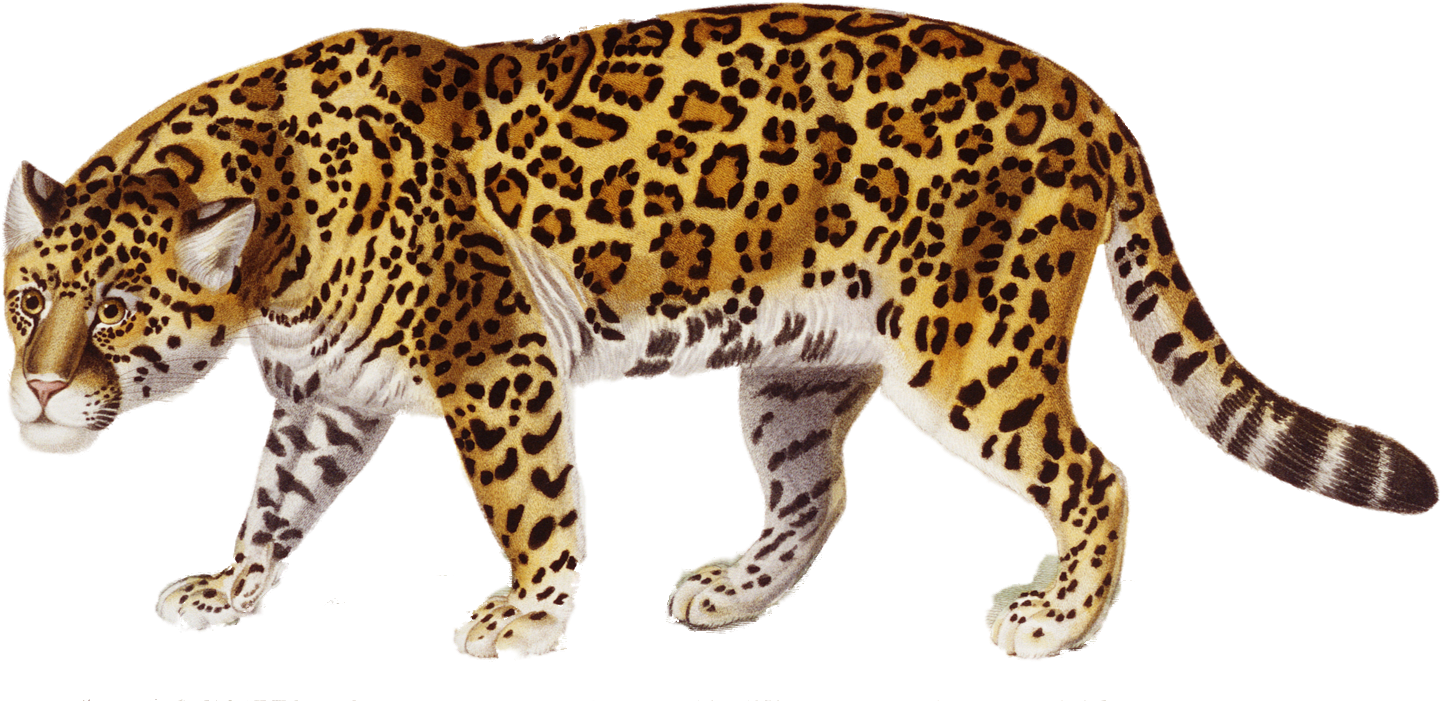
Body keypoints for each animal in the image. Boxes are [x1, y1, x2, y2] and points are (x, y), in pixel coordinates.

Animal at [3, 4, 1435, 663]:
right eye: (28, 304)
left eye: (117, 314)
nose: (34, 395)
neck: (274, 244)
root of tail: (1091, 97)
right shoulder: (325, 395)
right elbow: (274, 495)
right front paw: (228, 586)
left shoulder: (498, 360)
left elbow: (531, 501)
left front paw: (525, 616)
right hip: (795, 370)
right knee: (820, 491)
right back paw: (734, 591)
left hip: (971, 348)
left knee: (1100, 472)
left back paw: (1056, 616)